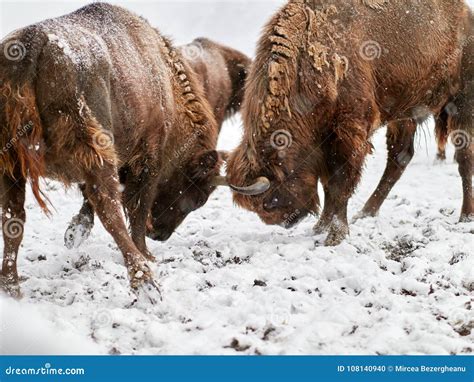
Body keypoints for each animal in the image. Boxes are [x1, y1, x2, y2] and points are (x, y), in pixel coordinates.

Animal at [0, 2, 223, 298]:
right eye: (197, 197)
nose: (159, 235)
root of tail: (33, 42)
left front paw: (74, 232)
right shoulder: (148, 157)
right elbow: (136, 207)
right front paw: (147, 253)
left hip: (11, 164)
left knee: (13, 218)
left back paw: (10, 287)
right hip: (93, 149)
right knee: (110, 211)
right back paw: (145, 283)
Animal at [226, 0, 474, 245]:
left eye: (268, 202)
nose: (287, 222)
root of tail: (466, 14)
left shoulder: (348, 134)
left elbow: (341, 183)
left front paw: (335, 235)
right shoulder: (325, 145)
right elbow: (328, 184)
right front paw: (320, 227)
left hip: (461, 104)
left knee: (464, 159)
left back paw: (465, 216)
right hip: (405, 115)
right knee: (399, 159)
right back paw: (366, 212)